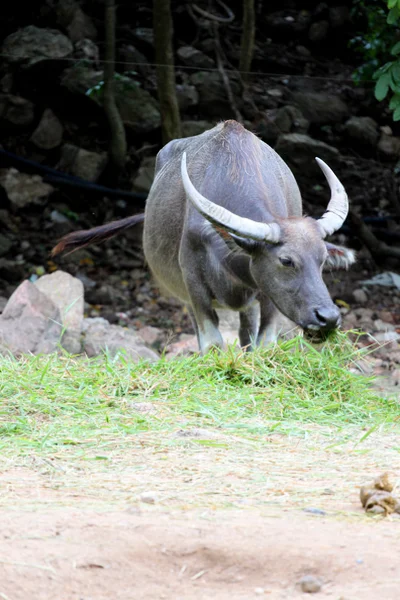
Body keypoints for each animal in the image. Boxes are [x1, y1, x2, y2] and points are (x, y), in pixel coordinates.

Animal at [52, 120, 354, 354]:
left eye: (323, 259)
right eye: (286, 260)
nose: (328, 318)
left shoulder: (268, 297)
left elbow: (264, 344)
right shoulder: (194, 286)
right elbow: (212, 342)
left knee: (245, 333)